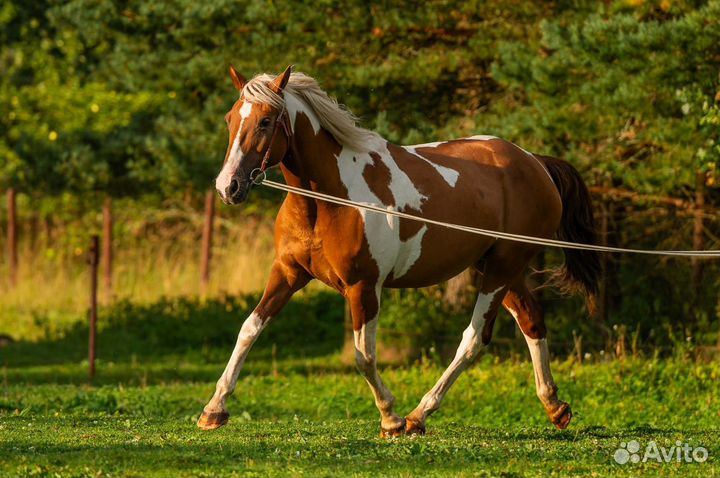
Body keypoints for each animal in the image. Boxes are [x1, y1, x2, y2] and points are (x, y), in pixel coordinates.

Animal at [198, 64, 600, 436]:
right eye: (231, 118)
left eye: (266, 121)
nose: (228, 186)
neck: (330, 199)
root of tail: (534, 162)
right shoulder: (288, 273)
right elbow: (249, 329)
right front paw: (213, 409)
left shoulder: (364, 287)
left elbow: (364, 357)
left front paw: (390, 418)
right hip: (499, 269)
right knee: (531, 322)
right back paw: (555, 407)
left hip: (502, 269)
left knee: (472, 340)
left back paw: (418, 415)